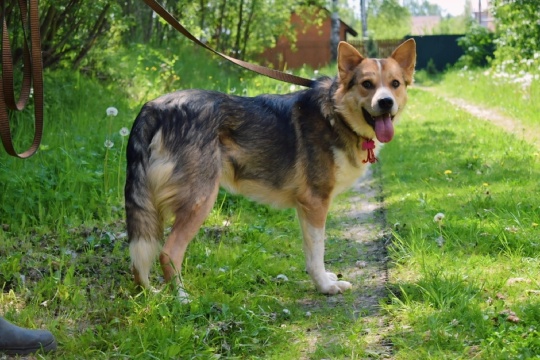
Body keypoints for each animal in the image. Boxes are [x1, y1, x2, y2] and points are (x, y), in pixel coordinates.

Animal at [124, 39, 416, 300]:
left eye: (395, 84)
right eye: (367, 84)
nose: (386, 102)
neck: (336, 114)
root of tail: (155, 107)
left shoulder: (305, 207)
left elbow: (310, 255)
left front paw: (323, 280)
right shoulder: (315, 203)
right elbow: (318, 253)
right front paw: (325, 287)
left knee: (138, 262)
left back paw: (149, 296)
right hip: (200, 200)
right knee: (168, 253)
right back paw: (182, 299)